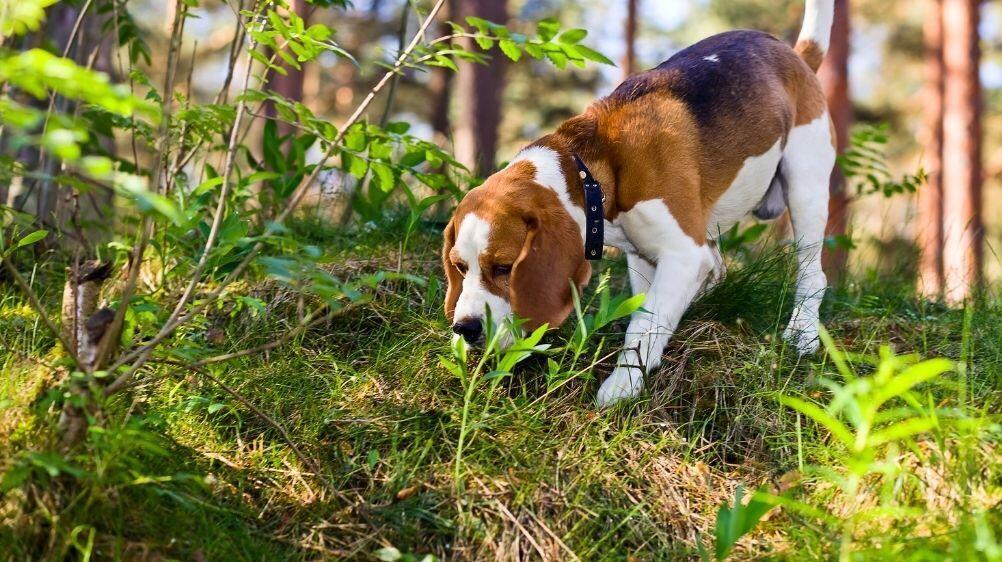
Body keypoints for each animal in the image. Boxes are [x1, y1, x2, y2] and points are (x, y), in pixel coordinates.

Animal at [442, 0, 833, 402]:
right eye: (459, 267)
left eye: (504, 267)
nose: (465, 328)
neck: (592, 172)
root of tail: (796, 56)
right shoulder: (643, 256)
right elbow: (647, 313)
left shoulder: (681, 254)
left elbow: (644, 324)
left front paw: (621, 387)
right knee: (717, 268)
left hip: (806, 187)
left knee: (812, 272)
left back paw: (803, 332)